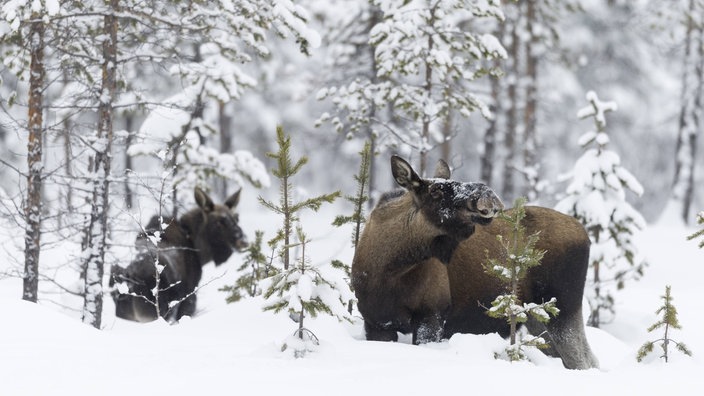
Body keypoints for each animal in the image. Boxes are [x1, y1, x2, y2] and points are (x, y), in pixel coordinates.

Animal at [111, 188, 249, 322]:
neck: (198, 249)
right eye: (219, 221)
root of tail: (129, 279)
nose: (243, 240)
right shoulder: (189, 298)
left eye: (236, 218)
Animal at [352, 154, 600, 368]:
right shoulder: (377, 323)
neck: (388, 270)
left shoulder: (431, 315)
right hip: (537, 316)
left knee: (584, 360)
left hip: (562, 308)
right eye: (435, 190)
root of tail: (585, 235)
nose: (487, 196)